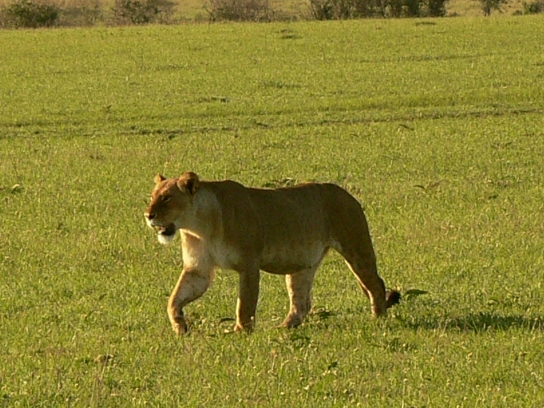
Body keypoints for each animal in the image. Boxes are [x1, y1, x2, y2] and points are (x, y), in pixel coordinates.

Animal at [145, 172, 400, 334]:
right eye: (152, 197)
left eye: (167, 198)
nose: (148, 215)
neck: (198, 226)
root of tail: (347, 194)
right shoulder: (198, 270)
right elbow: (175, 298)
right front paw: (179, 326)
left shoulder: (249, 264)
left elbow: (245, 303)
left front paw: (241, 332)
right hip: (301, 266)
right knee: (301, 303)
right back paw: (283, 328)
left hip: (356, 248)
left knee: (376, 284)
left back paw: (378, 318)